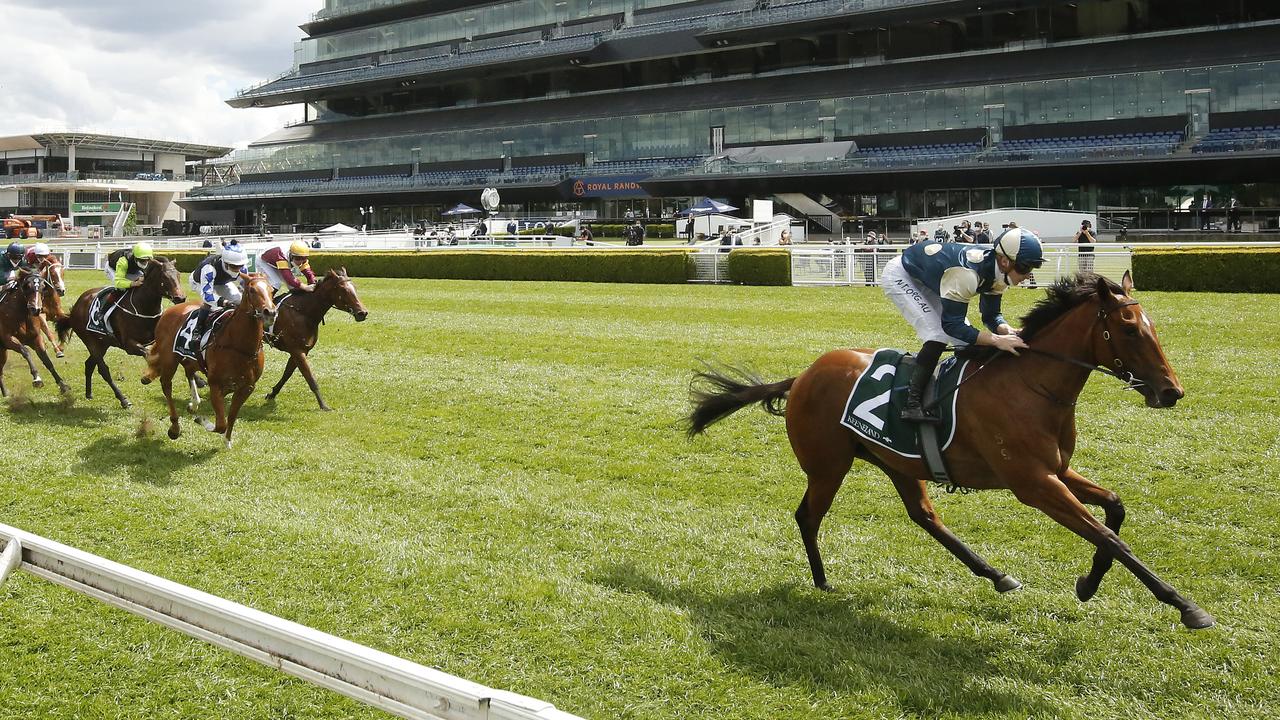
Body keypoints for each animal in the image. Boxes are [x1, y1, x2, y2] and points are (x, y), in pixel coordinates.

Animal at [57, 254, 186, 407]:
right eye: (165, 277)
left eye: (178, 275)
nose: (180, 297)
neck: (144, 306)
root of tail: (76, 307)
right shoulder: (130, 345)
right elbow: (151, 355)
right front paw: (147, 377)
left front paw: (199, 380)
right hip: (90, 341)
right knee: (103, 370)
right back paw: (123, 399)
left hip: (103, 343)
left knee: (89, 364)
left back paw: (89, 393)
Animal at [141, 272, 276, 445]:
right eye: (252, 290)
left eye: (271, 290)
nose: (270, 312)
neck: (240, 346)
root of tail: (169, 311)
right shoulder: (215, 383)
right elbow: (220, 424)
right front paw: (201, 420)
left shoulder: (247, 387)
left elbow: (231, 416)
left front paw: (227, 440)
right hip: (170, 359)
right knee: (166, 386)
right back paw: (175, 427)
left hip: (191, 359)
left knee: (189, 371)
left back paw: (194, 403)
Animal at [262, 265, 368, 409]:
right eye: (344, 290)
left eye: (355, 288)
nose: (362, 313)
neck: (303, 312)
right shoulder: (297, 350)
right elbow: (310, 378)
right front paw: (323, 406)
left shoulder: (301, 350)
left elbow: (287, 374)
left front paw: (272, 393)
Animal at [686, 271, 1213, 625]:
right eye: (1129, 329)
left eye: (1151, 326)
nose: (1171, 392)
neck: (1032, 386)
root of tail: (802, 376)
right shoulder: (1034, 484)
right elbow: (1109, 536)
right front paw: (1185, 605)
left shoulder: (1057, 471)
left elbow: (1115, 511)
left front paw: (1088, 583)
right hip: (827, 465)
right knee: (808, 516)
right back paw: (821, 580)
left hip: (896, 461)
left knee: (924, 516)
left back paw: (996, 575)